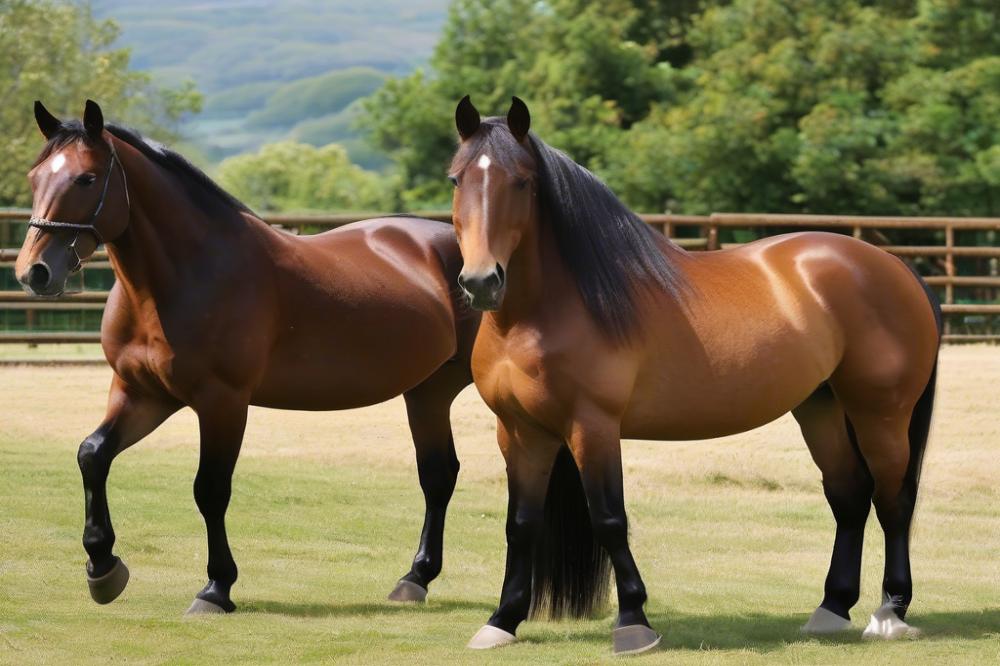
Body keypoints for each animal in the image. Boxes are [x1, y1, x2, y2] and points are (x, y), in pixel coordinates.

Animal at [16, 100, 479, 614]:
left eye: (87, 179)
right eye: (35, 177)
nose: (34, 272)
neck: (184, 275)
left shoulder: (223, 402)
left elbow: (210, 489)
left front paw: (216, 588)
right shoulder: (141, 393)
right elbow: (92, 454)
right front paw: (103, 567)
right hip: (428, 392)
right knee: (438, 476)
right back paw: (415, 578)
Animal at [448, 96, 941, 655]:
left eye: (522, 182)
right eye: (456, 179)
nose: (481, 281)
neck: (546, 311)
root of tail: (893, 266)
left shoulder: (593, 427)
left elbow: (610, 519)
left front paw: (633, 622)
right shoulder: (519, 431)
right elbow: (521, 524)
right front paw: (502, 620)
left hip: (881, 413)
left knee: (893, 499)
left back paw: (889, 614)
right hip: (821, 408)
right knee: (850, 495)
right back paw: (831, 609)